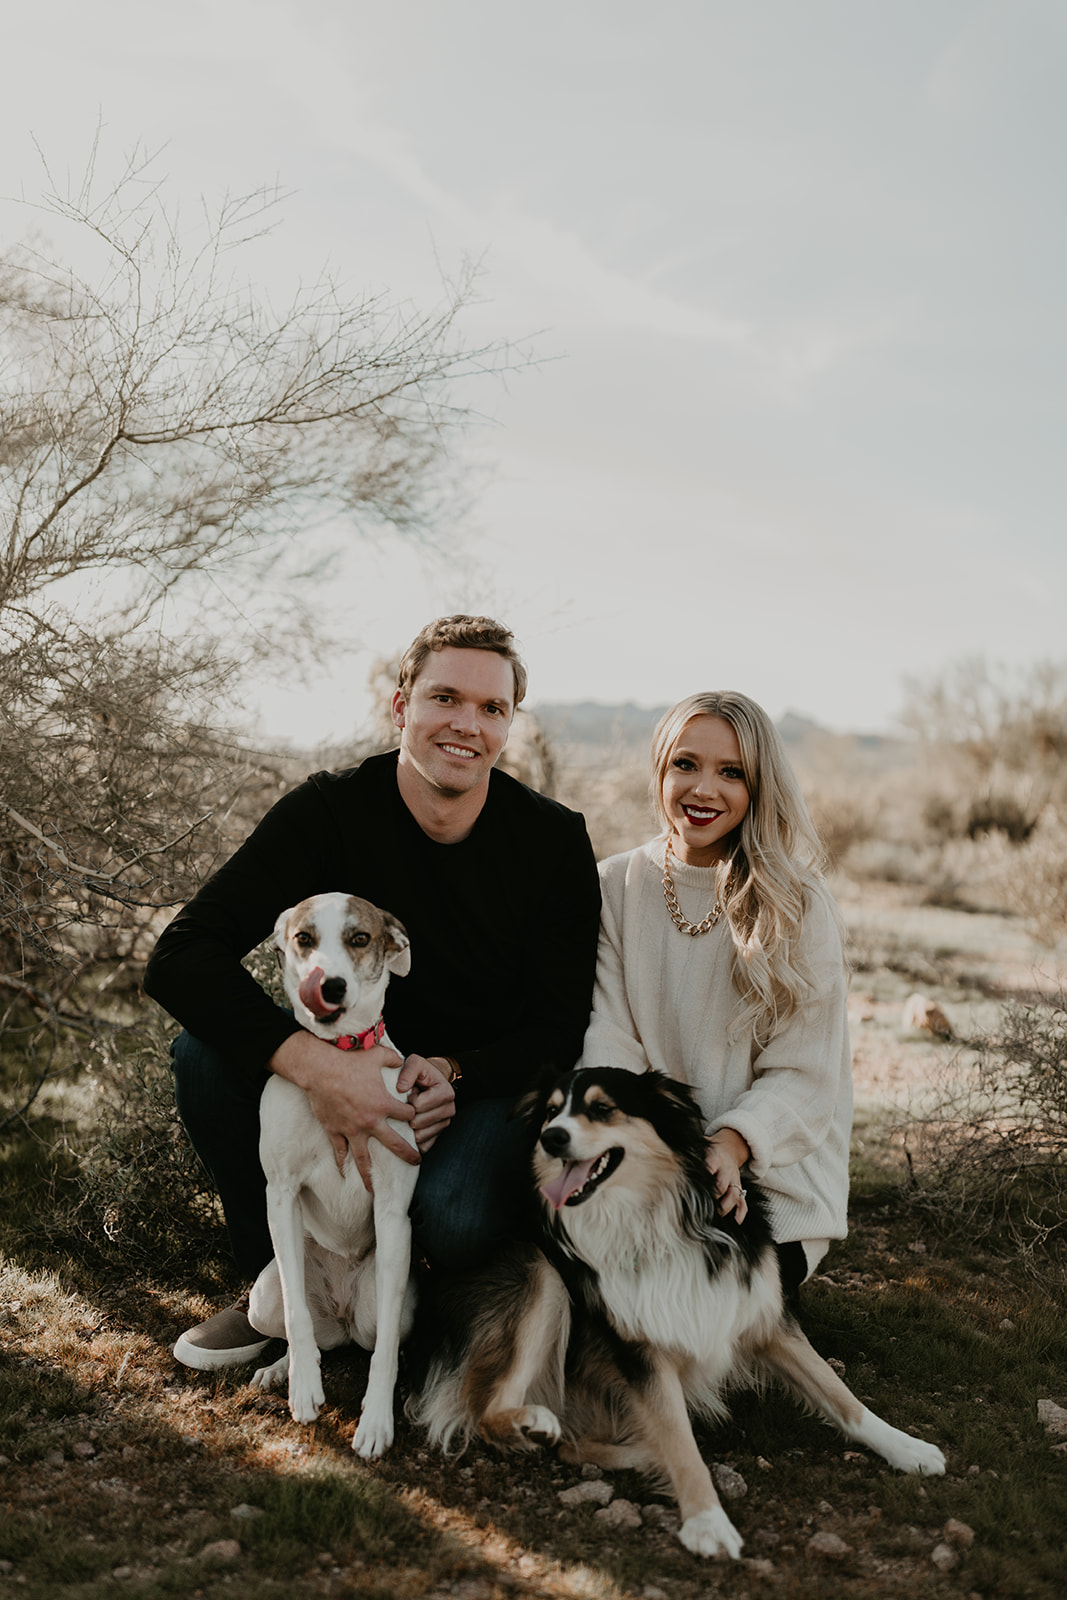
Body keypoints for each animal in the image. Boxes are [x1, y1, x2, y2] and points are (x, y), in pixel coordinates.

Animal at [249, 896, 415, 1459]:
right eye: (304, 938)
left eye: (360, 938)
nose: (331, 985)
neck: (340, 1057)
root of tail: (342, 1317)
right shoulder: (279, 1194)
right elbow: (297, 1320)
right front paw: (302, 1387)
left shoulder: (393, 1213)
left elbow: (383, 1354)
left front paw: (377, 1421)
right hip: (262, 1297)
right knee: (304, 1326)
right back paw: (280, 1370)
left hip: (388, 1305)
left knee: (374, 1341)